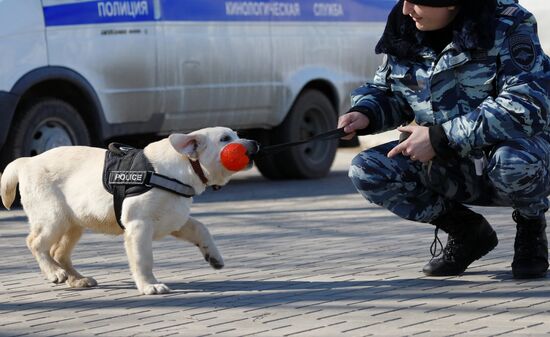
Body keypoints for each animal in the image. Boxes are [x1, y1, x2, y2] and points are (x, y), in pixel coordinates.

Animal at [0, 126, 258, 294]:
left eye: (236, 135)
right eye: (225, 138)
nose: (255, 143)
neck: (182, 167)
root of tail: (27, 161)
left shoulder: (175, 218)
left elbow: (201, 228)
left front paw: (213, 256)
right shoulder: (139, 225)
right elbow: (144, 259)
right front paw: (149, 285)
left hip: (74, 222)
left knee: (58, 252)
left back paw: (77, 279)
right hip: (53, 217)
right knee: (36, 243)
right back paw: (54, 273)